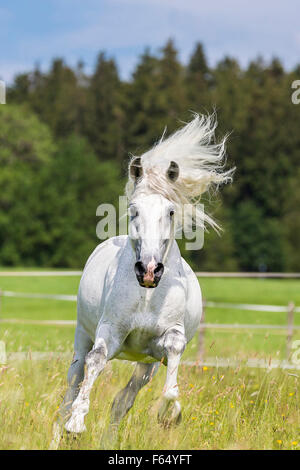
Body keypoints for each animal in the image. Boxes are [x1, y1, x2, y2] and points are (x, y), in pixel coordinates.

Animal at [54, 112, 232, 446]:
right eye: (134, 210)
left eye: (171, 212)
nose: (149, 270)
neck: (148, 295)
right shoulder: (109, 331)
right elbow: (95, 362)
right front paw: (77, 424)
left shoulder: (166, 342)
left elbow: (172, 359)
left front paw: (169, 413)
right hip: (81, 335)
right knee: (71, 387)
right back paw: (61, 432)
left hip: (144, 364)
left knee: (122, 402)